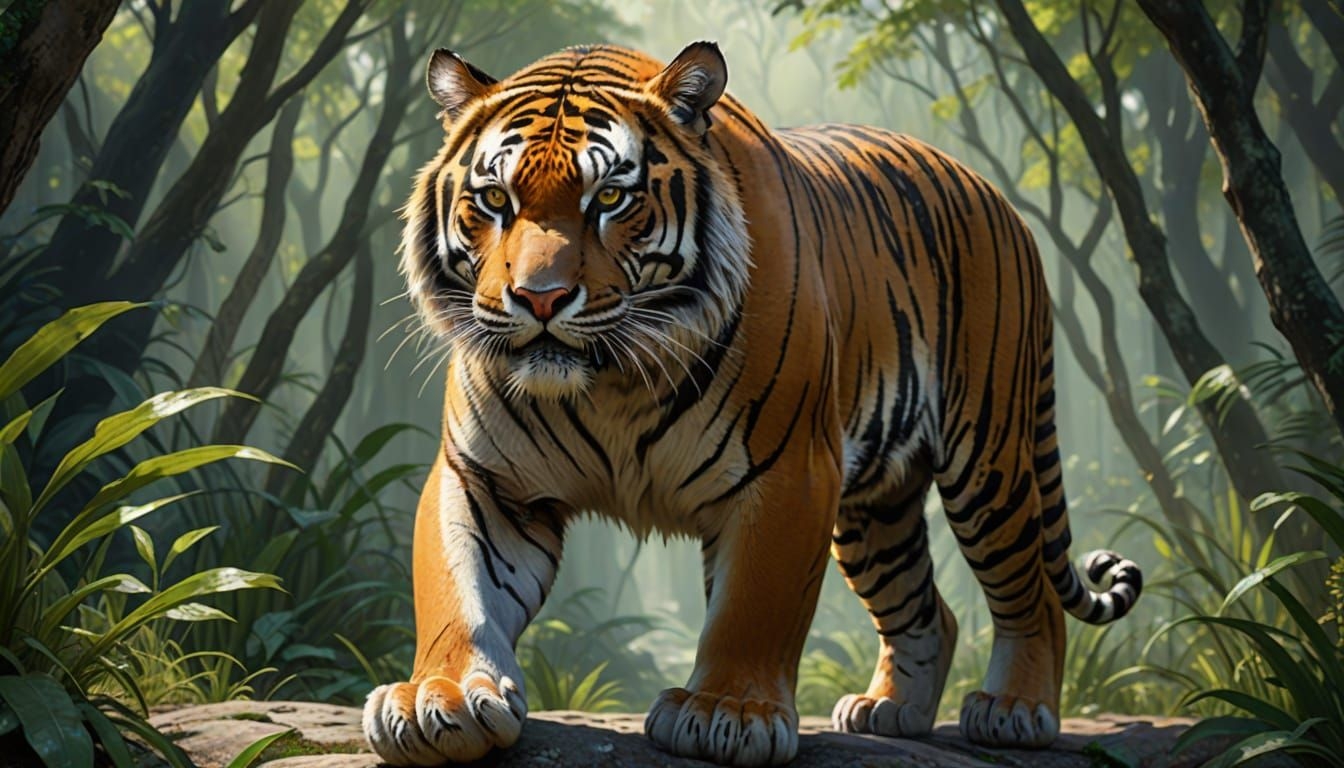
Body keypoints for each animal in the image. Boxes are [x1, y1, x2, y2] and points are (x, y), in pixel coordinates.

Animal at [361, 41, 1142, 767]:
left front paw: (726, 713)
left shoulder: (790, 473)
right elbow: (457, 590)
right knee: (930, 610)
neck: (612, 379)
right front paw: (440, 699)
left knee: (1032, 595)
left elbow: (752, 606)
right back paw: (891, 711)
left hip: (988, 463)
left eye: (610, 199)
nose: (540, 299)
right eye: (496, 200)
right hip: (875, 511)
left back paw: (1015, 709)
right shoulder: (485, 479)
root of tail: (995, 194)